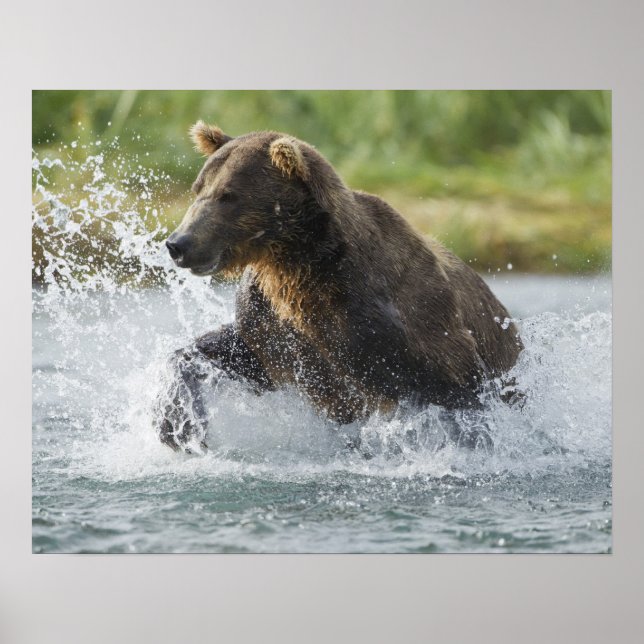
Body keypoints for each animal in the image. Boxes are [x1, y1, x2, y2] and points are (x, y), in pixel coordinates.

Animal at [156, 121, 523, 453]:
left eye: (228, 195)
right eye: (198, 188)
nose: (179, 243)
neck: (299, 265)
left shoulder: (396, 323)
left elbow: (456, 388)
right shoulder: (273, 324)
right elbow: (233, 352)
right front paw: (178, 424)